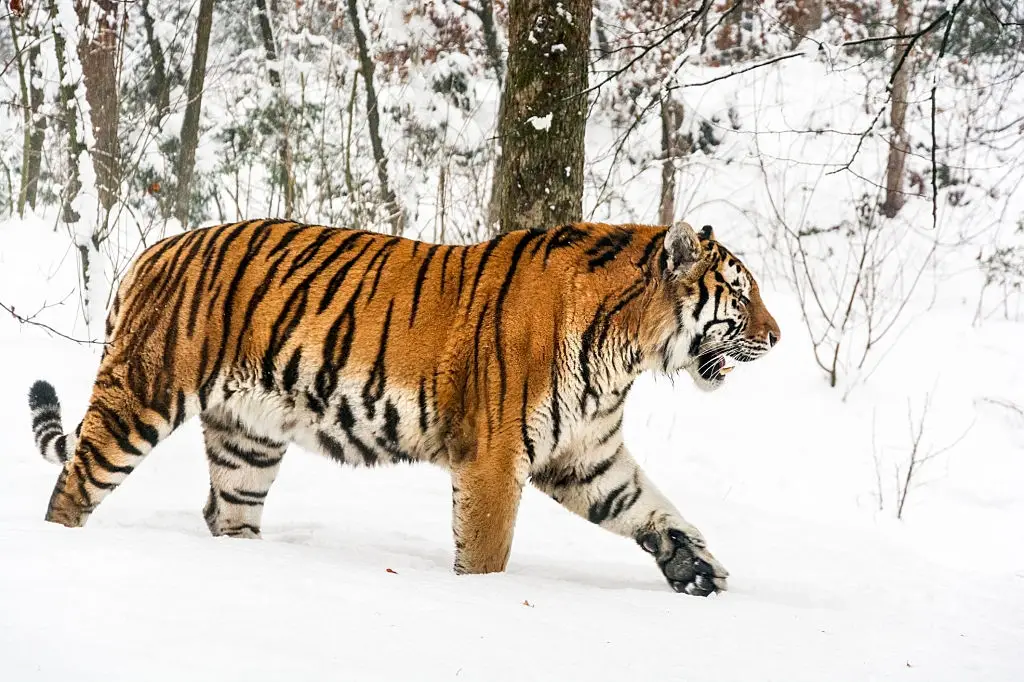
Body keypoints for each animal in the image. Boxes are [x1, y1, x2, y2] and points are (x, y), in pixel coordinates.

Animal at [28, 218, 779, 596]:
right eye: (741, 295)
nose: (777, 337)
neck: (627, 351)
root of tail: (154, 249)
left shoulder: (584, 455)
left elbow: (650, 507)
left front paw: (695, 569)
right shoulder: (495, 459)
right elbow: (487, 553)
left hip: (248, 439)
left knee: (227, 514)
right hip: (140, 396)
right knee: (73, 485)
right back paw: (59, 547)